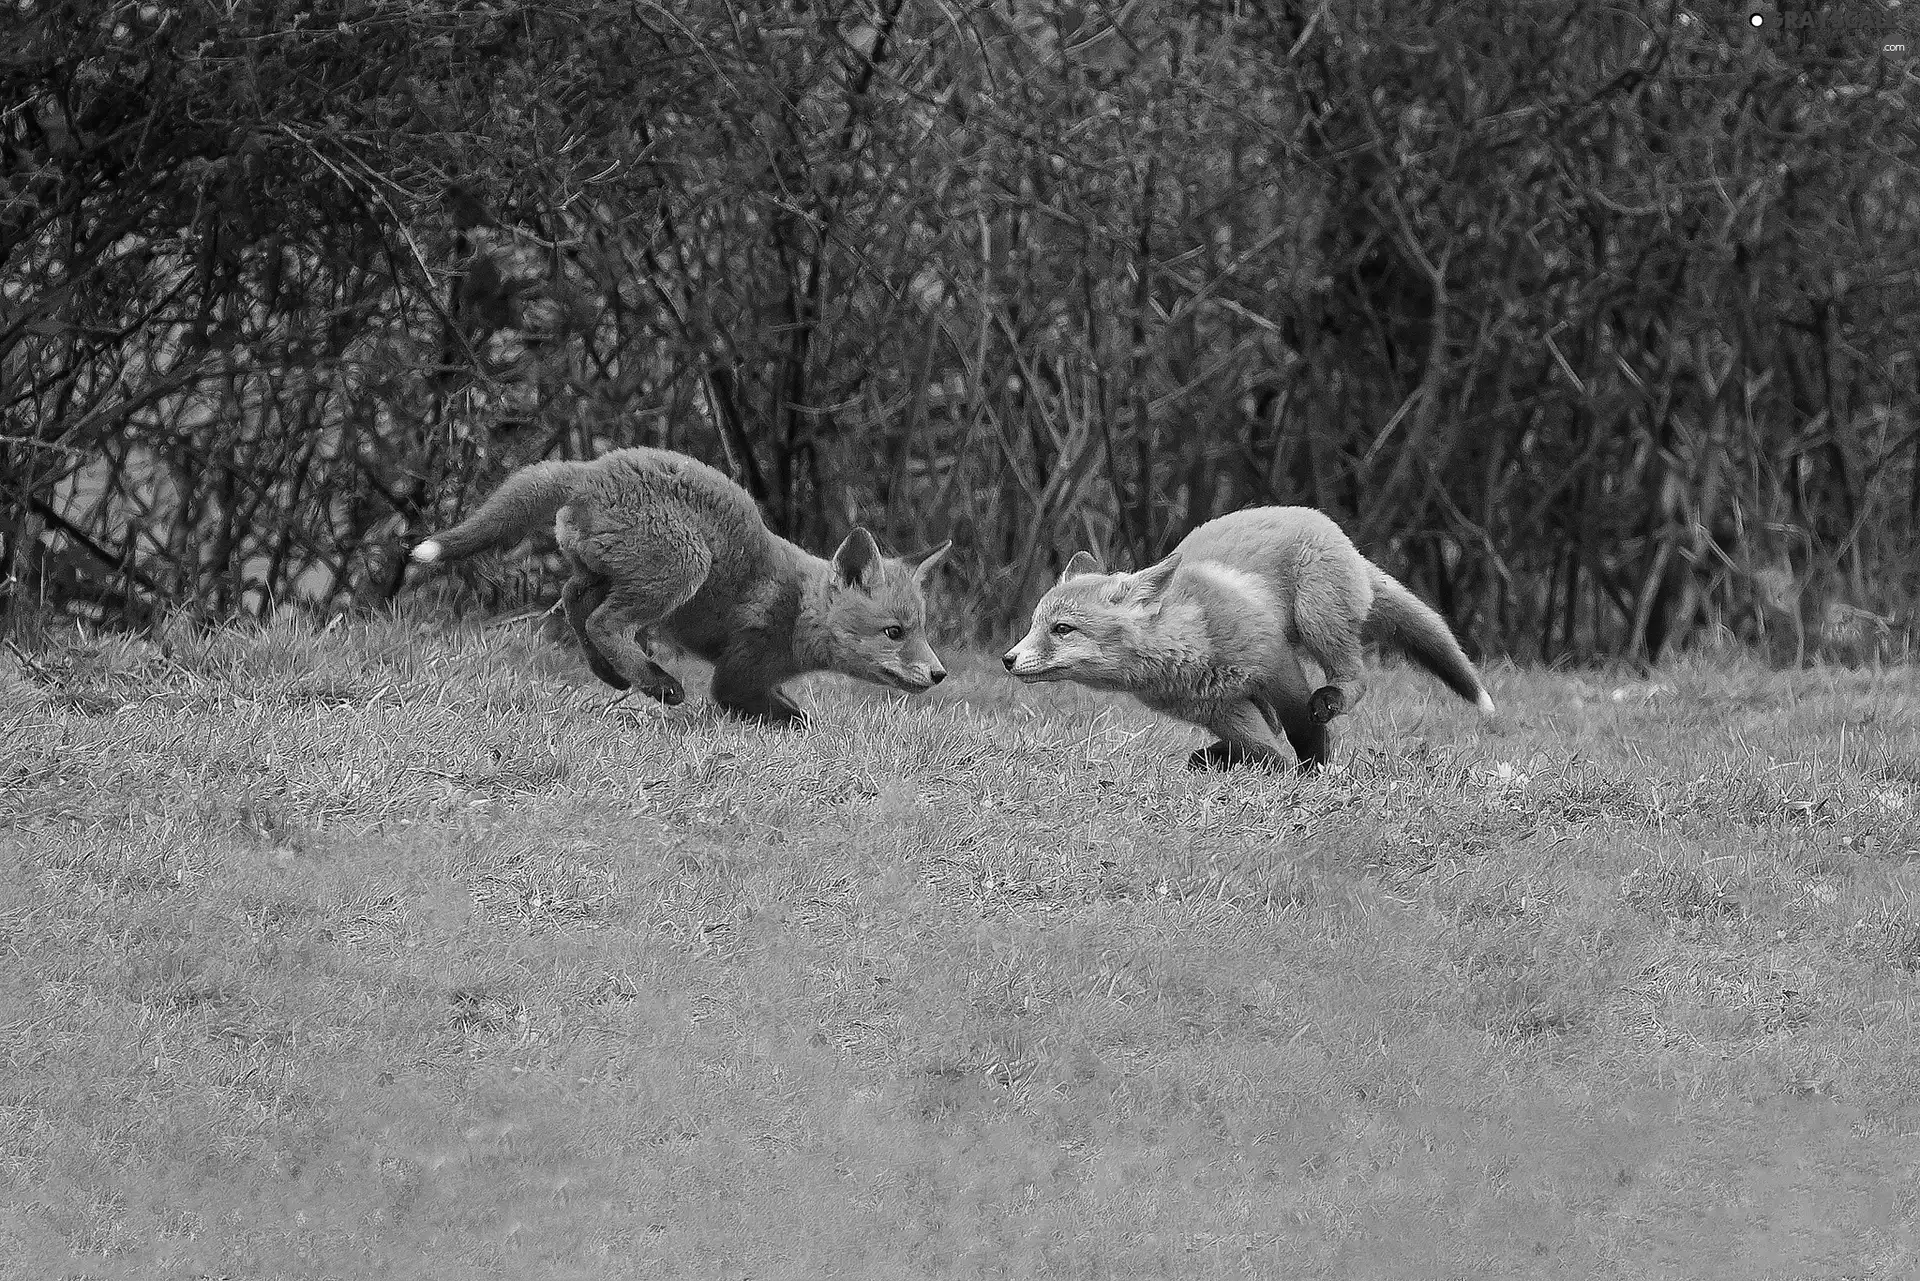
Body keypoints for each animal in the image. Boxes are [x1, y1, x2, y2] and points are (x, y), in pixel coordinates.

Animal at [408, 443, 948, 722]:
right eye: (895, 633)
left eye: (922, 630)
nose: (940, 674)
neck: (799, 613)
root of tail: (592, 467)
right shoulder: (736, 678)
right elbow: (791, 716)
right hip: (684, 568)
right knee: (604, 622)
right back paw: (656, 682)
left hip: (605, 574)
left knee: (573, 600)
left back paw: (613, 674)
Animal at [1006, 507, 1497, 772]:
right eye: (1034, 625)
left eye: (1062, 629)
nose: (1008, 659)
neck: (1188, 644)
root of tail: (1334, 530)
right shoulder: (1219, 710)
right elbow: (1266, 752)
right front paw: (1266, 767)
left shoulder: (1277, 669)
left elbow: (1304, 736)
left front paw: (1313, 775)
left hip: (1317, 618)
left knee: (1355, 678)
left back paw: (1333, 698)